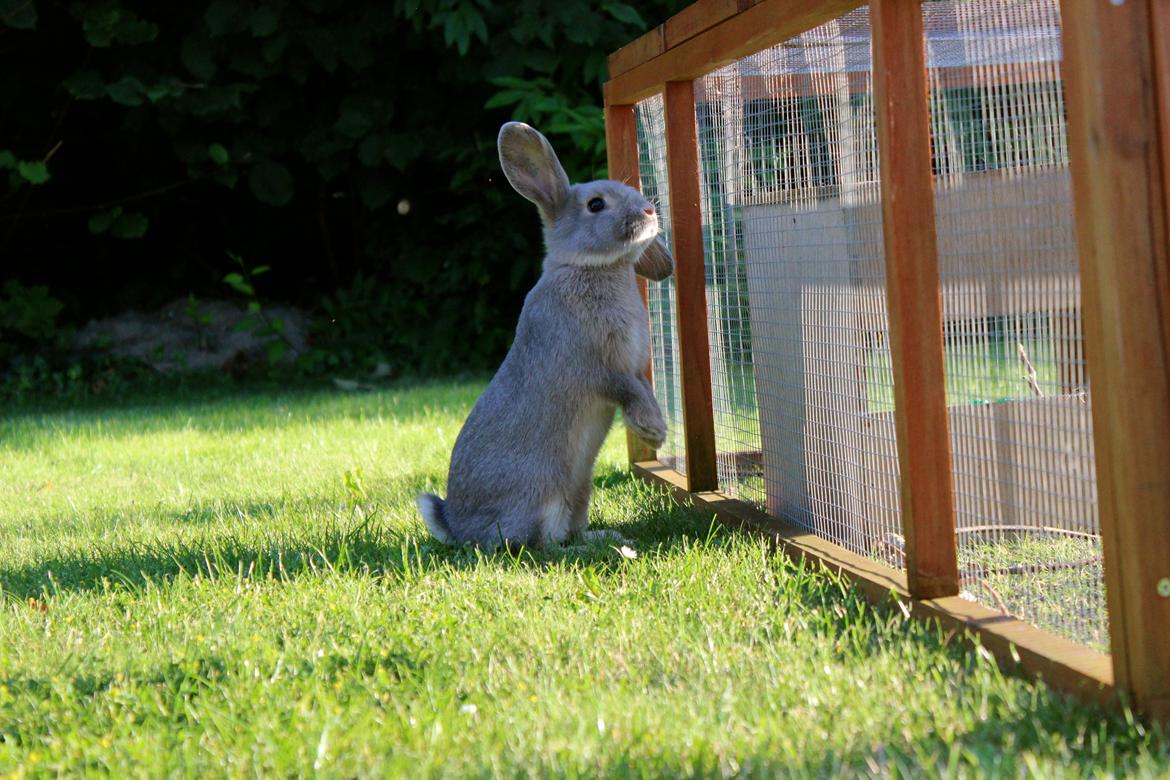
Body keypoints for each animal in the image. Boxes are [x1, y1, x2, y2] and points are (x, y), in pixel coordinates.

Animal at [418, 120, 678, 549]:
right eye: (595, 205)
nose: (649, 210)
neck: (590, 267)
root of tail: (457, 527)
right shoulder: (596, 366)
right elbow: (626, 389)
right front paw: (654, 432)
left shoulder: (633, 365)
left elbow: (642, 387)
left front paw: (655, 430)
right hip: (542, 495)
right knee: (537, 544)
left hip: (580, 490)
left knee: (568, 531)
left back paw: (603, 536)